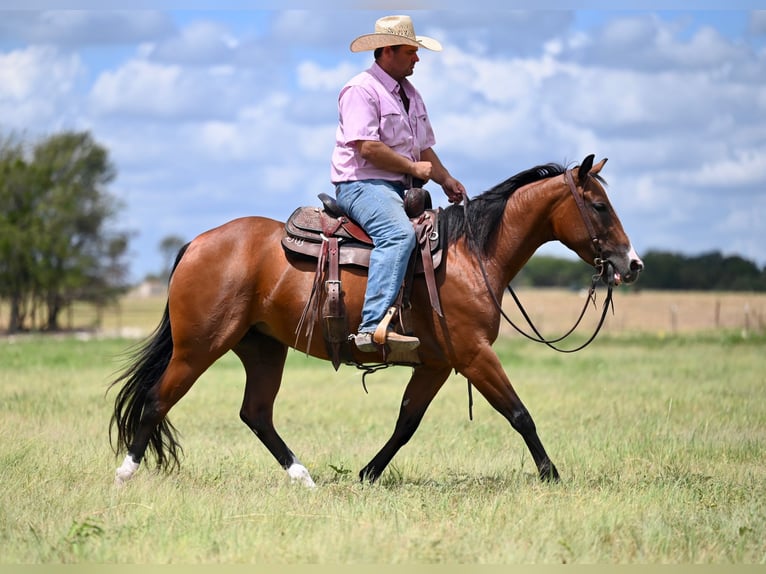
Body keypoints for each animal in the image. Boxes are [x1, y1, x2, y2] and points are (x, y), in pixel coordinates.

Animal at [111, 155, 644, 488]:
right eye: (599, 205)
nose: (633, 263)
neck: (470, 254)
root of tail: (197, 243)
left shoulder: (438, 364)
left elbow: (406, 422)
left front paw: (368, 474)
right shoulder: (474, 355)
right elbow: (519, 413)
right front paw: (551, 475)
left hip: (263, 349)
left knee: (255, 414)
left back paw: (304, 478)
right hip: (199, 346)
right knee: (158, 399)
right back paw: (125, 473)